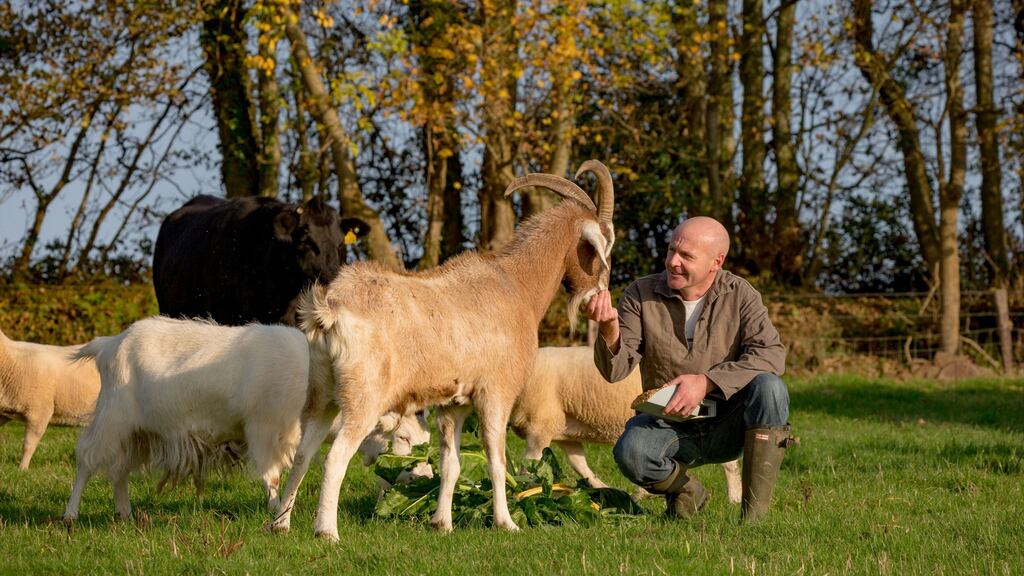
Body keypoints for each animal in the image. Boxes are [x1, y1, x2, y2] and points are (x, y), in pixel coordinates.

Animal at [268, 160, 616, 540]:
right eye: (605, 244)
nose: (598, 296)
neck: (516, 284)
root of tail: (329, 310)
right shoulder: (496, 393)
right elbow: (497, 460)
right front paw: (506, 522)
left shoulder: (454, 405)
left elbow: (451, 464)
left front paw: (442, 523)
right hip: (362, 398)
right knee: (335, 457)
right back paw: (327, 532)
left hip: (322, 395)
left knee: (303, 454)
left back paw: (281, 523)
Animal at [509, 346, 741, 503]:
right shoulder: (563, 431)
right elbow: (580, 465)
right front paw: (601, 487)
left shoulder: (539, 427)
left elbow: (528, 466)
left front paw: (520, 491)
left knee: (728, 463)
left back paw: (734, 498)